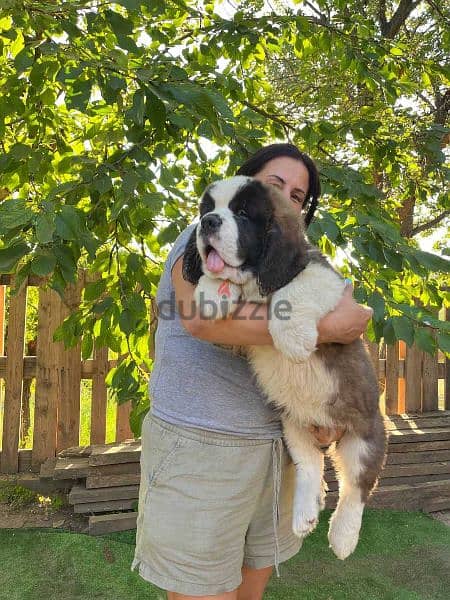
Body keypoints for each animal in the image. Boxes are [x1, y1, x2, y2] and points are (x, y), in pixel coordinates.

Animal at [182, 176, 386, 560]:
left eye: (243, 214)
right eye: (207, 209)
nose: (208, 222)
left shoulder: (323, 277)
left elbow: (295, 290)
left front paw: (293, 340)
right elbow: (218, 285)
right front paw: (211, 294)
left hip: (365, 436)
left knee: (356, 488)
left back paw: (343, 536)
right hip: (293, 426)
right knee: (310, 466)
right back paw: (305, 511)